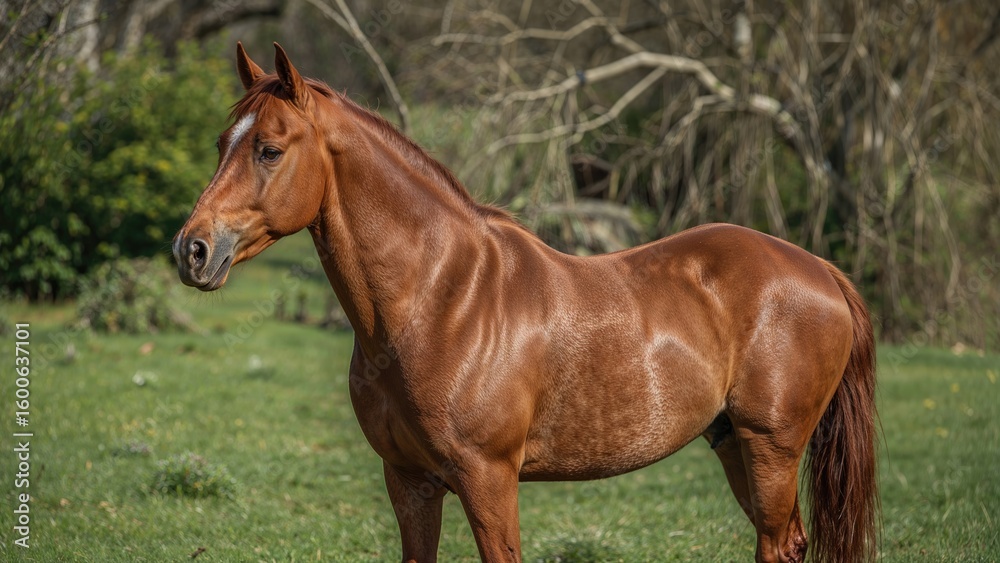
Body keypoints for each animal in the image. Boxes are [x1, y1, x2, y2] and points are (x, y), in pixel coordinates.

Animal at [173, 42, 878, 563]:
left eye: (269, 149)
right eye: (222, 143)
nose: (192, 250)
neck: (440, 301)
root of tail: (818, 271)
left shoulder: (488, 478)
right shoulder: (408, 479)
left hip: (772, 448)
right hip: (733, 442)